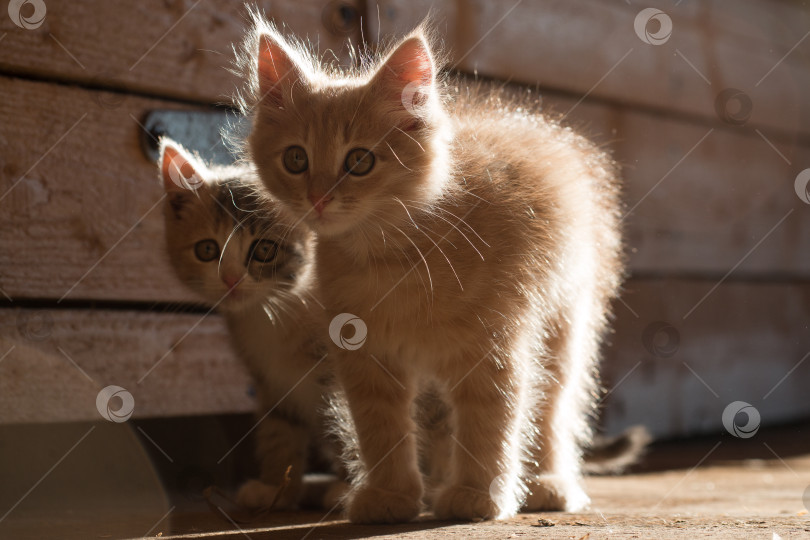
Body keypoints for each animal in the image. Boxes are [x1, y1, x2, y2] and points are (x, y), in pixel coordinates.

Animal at [158, 140, 344, 510]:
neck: (272, 316)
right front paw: (275, 487)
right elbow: (278, 430)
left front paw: (355, 488)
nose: (230, 279)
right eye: (207, 249)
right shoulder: (269, 380)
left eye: (264, 251)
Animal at [237, 21, 620, 524]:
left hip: (563, 324)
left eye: (359, 161)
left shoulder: (493, 347)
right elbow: (380, 428)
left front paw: (477, 494)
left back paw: (548, 483)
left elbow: (489, 421)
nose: (318, 199)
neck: (390, 260)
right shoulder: (367, 359)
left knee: (554, 407)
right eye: (295, 159)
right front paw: (391, 495)